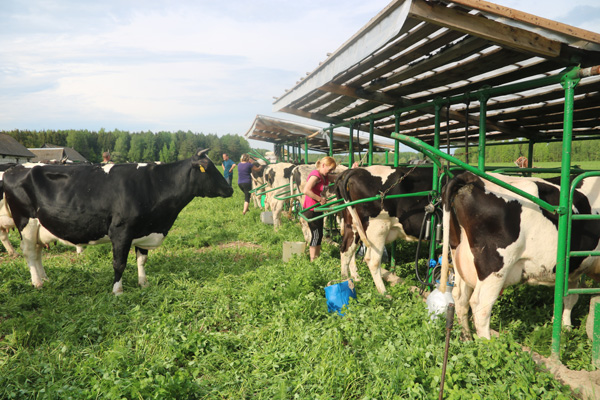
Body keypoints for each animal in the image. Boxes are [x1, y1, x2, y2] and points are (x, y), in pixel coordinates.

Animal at [3, 148, 233, 296]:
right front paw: (118, 291)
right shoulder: (121, 231)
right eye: (209, 168)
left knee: (38, 252)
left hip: (40, 227)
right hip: (26, 223)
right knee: (29, 253)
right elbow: (119, 263)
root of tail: (14, 169)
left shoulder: (144, 230)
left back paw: (45, 278)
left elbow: (142, 260)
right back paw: (37, 283)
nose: (230, 189)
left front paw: (143, 283)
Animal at [330, 165, 434, 294]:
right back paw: (384, 293)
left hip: (353, 225)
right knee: (372, 260)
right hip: (379, 227)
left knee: (346, 250)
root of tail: (354, 171)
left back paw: (346, 281)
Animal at [440, 172, 600, 340]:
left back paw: (467, 338)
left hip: (460, 258)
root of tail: (471, 177)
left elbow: (569, 298)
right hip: (496, 266)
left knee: (460, 298)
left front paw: (566, 328)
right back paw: (487, 343)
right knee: (480, 304)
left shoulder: (573, 270)